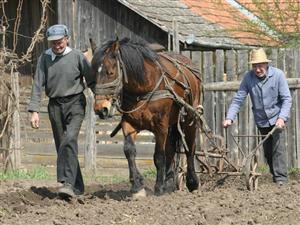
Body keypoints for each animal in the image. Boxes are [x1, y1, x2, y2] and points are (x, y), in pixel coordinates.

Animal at [91, 37, 203, 196]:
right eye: (94, 73)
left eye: (110, 72)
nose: (100, 109)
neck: (144, 89)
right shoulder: (129, 123)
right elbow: (129, 151)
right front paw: (137, 185)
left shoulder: (160, 126)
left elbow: (159, 156)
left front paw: (158, 187)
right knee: (171, 149)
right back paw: (169, 182)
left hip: (189, 118)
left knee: (189, 148)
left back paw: (192, 182)